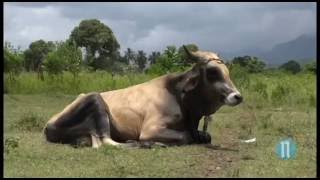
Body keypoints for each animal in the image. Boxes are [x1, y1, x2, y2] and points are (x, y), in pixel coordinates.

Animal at [42, 45, 242, 148]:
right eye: (212, 72)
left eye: (227, 71)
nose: (237, 96)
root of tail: (47, 125)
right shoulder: (150, 130)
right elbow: (185, 137)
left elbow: (205, 136)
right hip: (94, 99)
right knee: (108, 142)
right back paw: (143, 144)